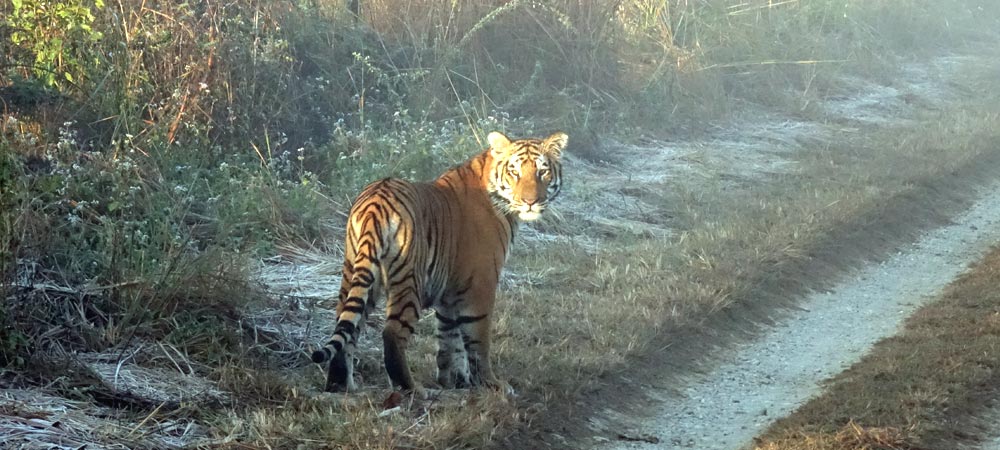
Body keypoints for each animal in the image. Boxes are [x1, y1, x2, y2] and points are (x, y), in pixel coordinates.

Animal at [308, 131, 568, 394]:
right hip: (408, 279)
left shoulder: (450, 290)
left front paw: (454, 380)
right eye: (515, 171)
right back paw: (410, 389)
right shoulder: (481, 283)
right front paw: (491, 384)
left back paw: (340, 385)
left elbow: (449, 337)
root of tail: (375, 203)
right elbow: (477, 340)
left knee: (346, 324)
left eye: (542, 171)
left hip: (356, 272)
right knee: (392, 332)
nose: (530, 202)